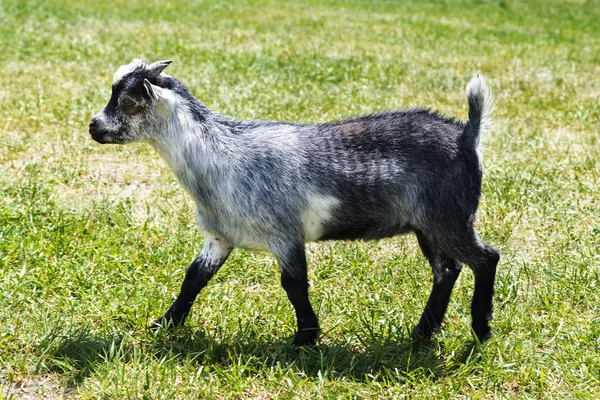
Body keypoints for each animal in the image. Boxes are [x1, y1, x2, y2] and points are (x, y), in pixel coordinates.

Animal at [89, 60, 500, 346]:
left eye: (129, 102)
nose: (93, 126)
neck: (220, 152)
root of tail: (466, 136)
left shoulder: (284, 233)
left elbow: (294, 284)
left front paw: (304, 339)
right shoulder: (221, 235)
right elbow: (194, 277)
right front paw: (163, 324)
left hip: (450, 217)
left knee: (486, 258)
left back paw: (480, 330)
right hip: (427, 224)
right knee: (447, 270)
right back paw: (422, 334)